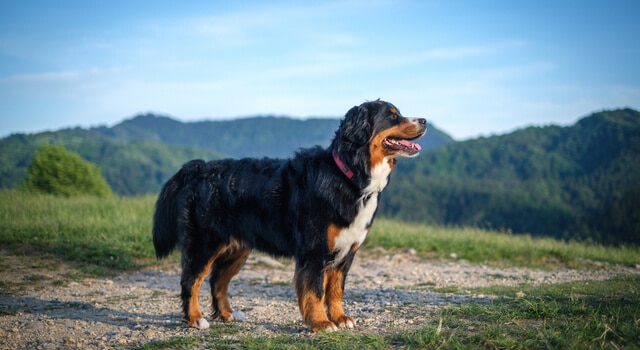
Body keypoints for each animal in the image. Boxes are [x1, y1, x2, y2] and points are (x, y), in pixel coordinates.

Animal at [152, 99, 428, 330]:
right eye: (392, 116)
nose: (424, 120)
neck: (349, 176)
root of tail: (198, 168)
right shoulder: (314, 250)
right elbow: (315, 290)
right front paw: (321, 322)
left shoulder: (346, 253)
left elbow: (335, 290)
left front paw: (340, 318)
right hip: (204, 243)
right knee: (191, 281)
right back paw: (195, 319)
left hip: (237, 249)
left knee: (217, 281)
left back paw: (228, 314)